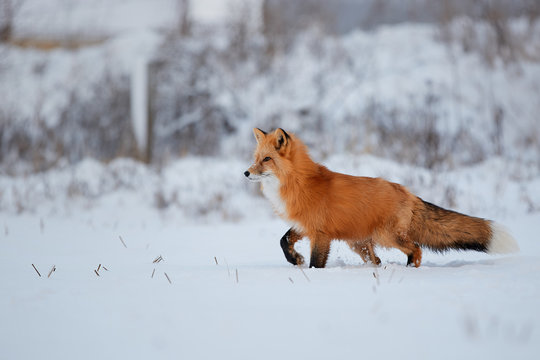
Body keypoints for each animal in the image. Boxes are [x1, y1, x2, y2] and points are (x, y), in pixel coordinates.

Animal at [244, 129, 520, 268]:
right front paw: (295, 259)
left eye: (267, 160)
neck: (300, 183)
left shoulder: (320, 233)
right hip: (360, 243)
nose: (246, 173)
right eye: (256, 159)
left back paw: (410, 269)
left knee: (416, 249)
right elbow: (283, 241)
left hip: (386, 236)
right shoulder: (304, 226)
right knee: (377, 259)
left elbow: (315, 263)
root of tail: (408, 192)